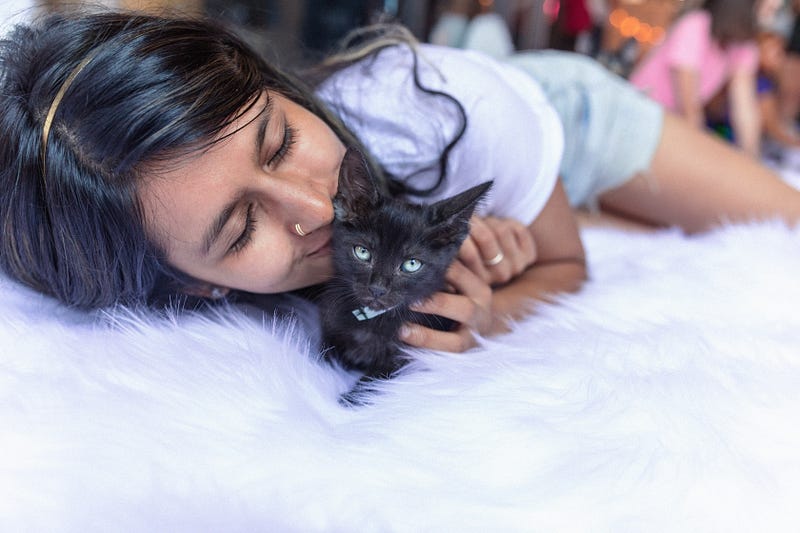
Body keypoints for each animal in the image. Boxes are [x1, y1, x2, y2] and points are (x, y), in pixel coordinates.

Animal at [319, 147, 492, 386]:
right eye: (362, 252)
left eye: (411, 264)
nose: (377, 289)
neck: (372, 321)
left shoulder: (404, 358)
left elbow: (372, 384)